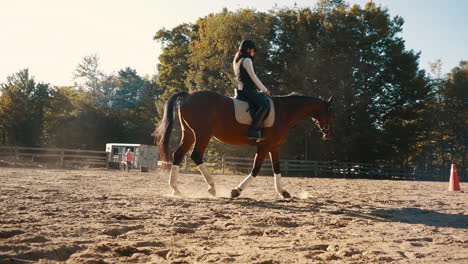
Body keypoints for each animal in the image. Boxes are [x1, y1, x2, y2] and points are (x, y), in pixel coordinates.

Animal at [155, 90, 334, 198]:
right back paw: (212, 187)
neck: (283, 112)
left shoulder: (275, 146)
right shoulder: (264, 146)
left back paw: (175, 189)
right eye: (330, 111)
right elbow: (256, 169)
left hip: (189, 134)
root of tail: (188, 96)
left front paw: (283, 192)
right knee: (196, 155)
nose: (328, 134)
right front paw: (236, 190)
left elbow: (277, 168)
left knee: (179, 154)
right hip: (203, 135)